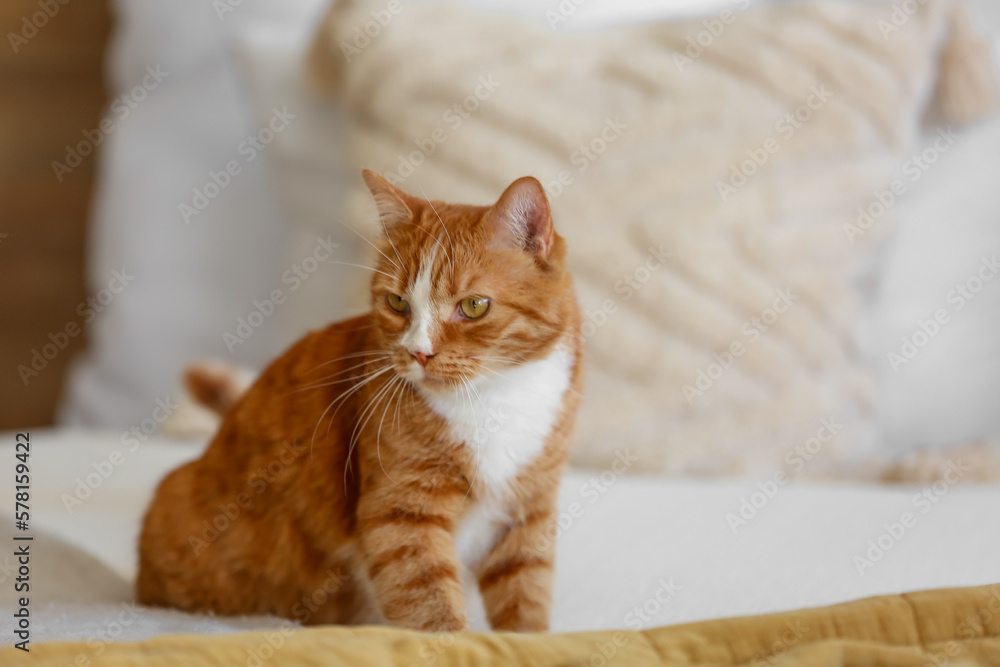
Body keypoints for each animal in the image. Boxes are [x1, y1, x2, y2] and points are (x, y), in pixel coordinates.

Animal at [137, 171, 584, 632]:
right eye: (398, 303)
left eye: (474, 306)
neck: (493, 398)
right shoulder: (402, 514)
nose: (418, 353)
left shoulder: (528, 514)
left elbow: (524, 598)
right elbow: (432, 609)